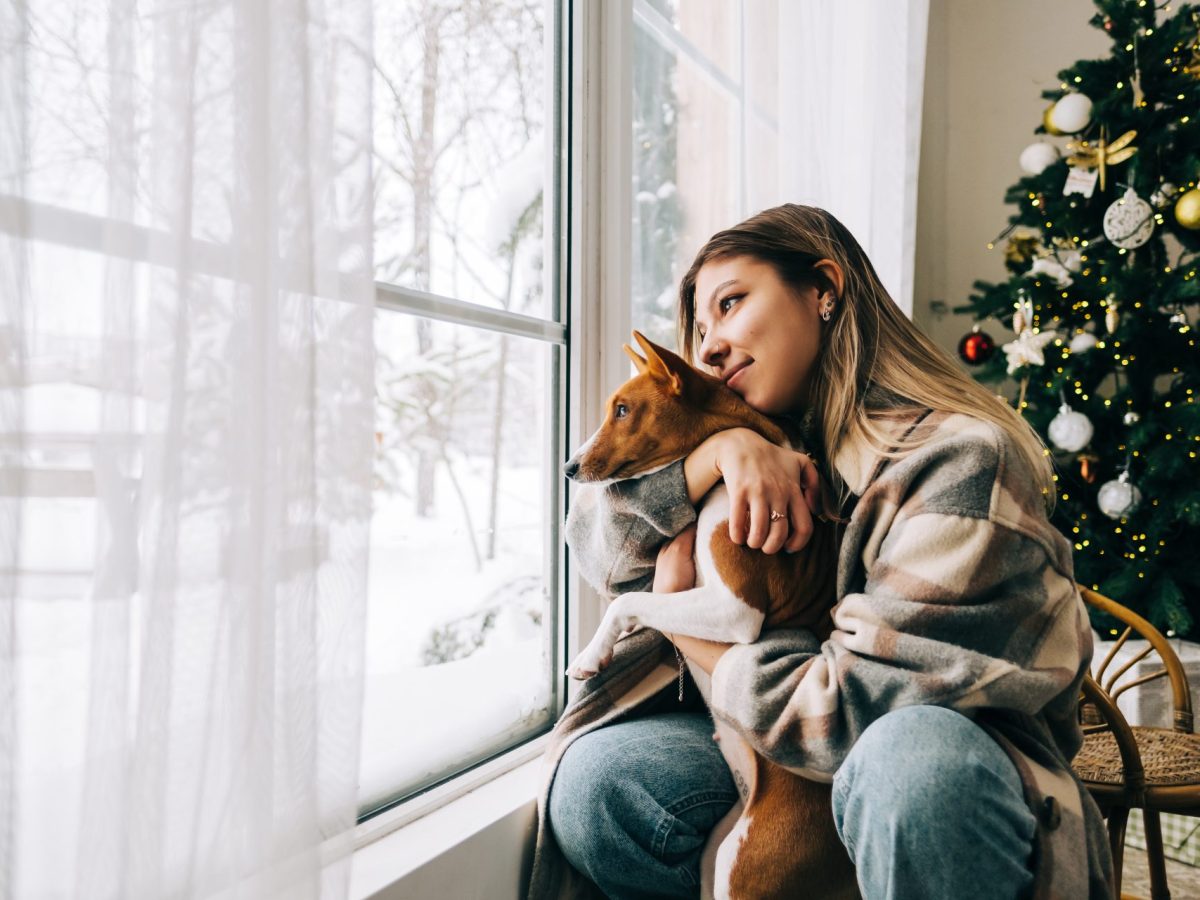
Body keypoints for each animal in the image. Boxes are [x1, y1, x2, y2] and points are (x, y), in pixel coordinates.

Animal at [561, 333, 854, 900]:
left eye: (623, 410)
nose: (568, 467)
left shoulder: (735, 608)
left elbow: (627, 603)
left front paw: (590, 656)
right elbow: (634, 603)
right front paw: (594, 650)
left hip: (744, 873)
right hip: (715, 858)